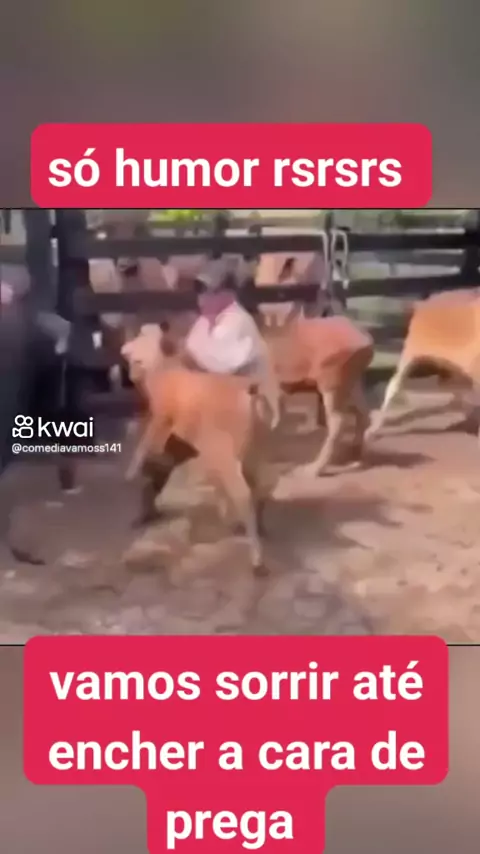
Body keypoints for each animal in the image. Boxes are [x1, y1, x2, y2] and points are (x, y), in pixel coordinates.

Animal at [120, 324, 274, 573]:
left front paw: (131, 471)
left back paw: (256, 558)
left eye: (142, 338)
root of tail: (250, 393)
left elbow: (146, 443)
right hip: (257, 449)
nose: (125, 350)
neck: (163, 370)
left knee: (243, 494)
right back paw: (255, 527)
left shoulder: (161, 417)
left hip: (227, 453)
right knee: (263, 483)